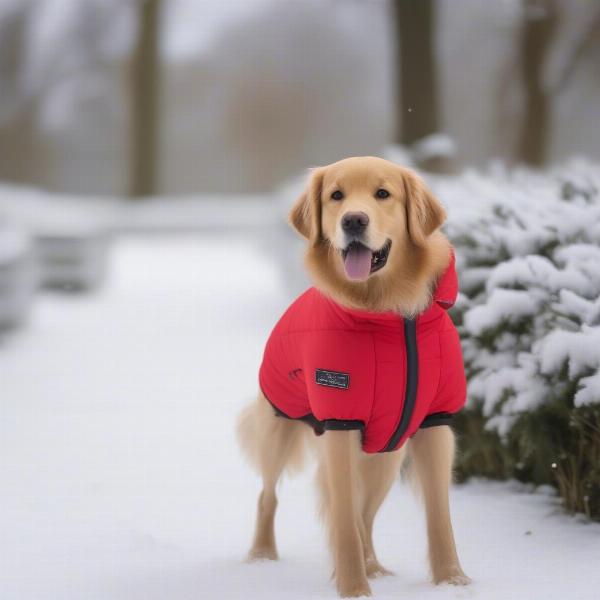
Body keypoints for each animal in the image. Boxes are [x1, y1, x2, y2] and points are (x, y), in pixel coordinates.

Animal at [237, 157, 472, 596]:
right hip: (280, 429)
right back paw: (261, 556)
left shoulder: (435, 424)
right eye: (336, 196)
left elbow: (439, 517)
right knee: (268, 496)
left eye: (383, 194)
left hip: (388, 455)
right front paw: (353, 589)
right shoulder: (339, 424)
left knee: (366, 516)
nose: (354, 220)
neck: (390, 313)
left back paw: (374, 565)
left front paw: (452, 581)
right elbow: (344, 522)